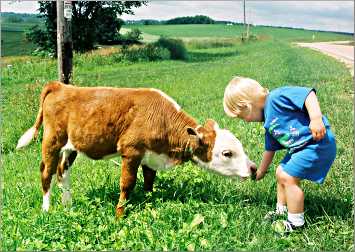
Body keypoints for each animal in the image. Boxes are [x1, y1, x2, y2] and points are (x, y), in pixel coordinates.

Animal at [16, 80, 256, 217]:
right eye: (227, 153)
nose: (253, 169)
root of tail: (60, 85)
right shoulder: (131, 151)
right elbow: (127, 185)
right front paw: (119, 214)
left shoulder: (151, 155)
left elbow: (149, 181)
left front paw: (149, 203)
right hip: (52, 141)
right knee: (46, 172)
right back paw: (47, 209)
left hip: (71, 146)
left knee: (62, 171)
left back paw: (68, 204)